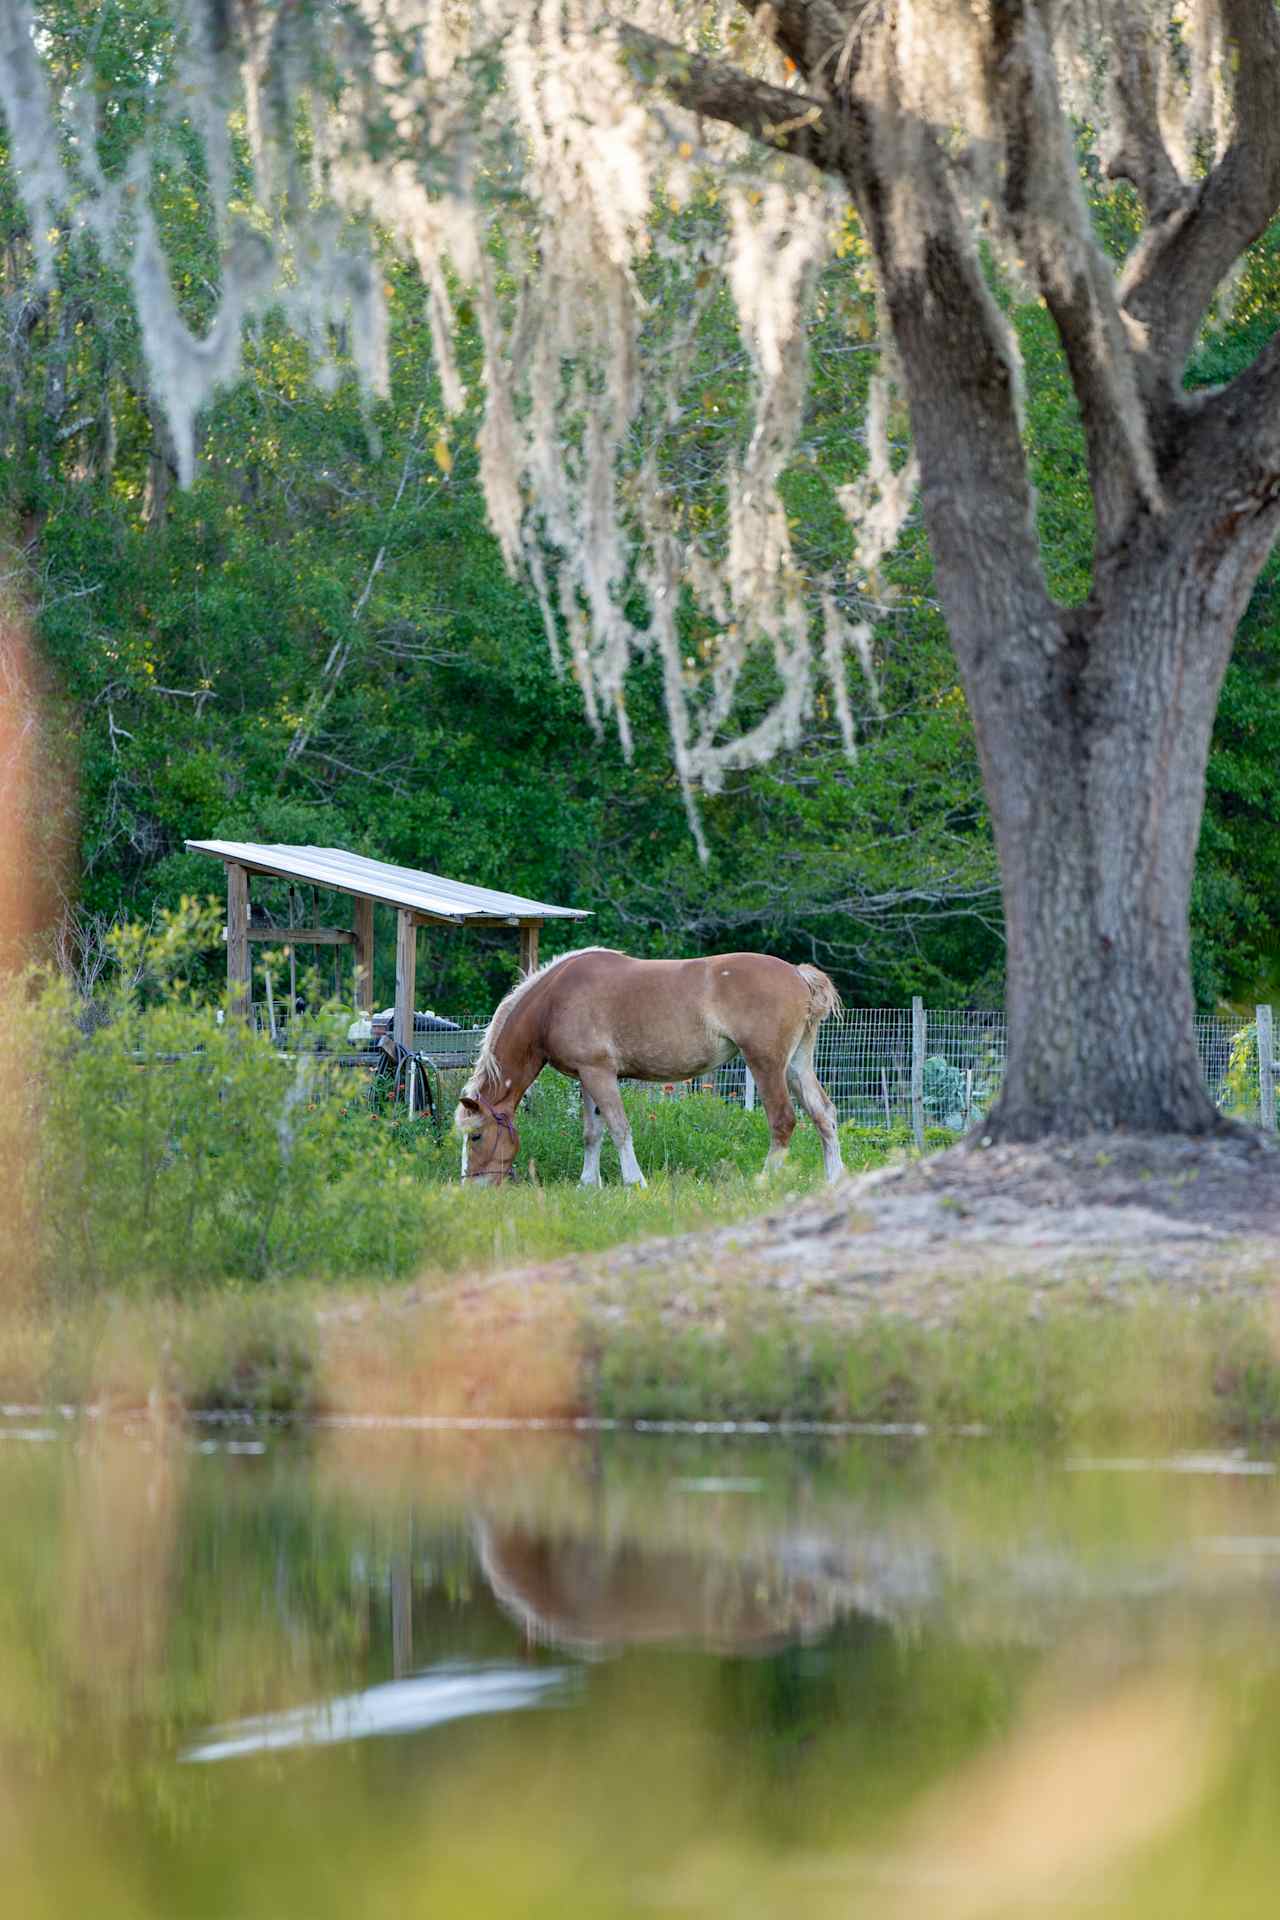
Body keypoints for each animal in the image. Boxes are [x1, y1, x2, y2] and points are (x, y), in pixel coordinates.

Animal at [454, 944, 844, 1182]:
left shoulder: (600, 1074)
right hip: (796, 1066)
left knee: (783, 1120)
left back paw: (765, 1180)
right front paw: (588, 1184)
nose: (471, 1186)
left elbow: (618, 1127)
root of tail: (797, 974)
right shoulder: (587, 1077)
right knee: (823, 1113)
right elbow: (592, 1133)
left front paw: (634, 1181)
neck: (553, 1001)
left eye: (476, 1136)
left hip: (766, 1064)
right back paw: (834, 1179)